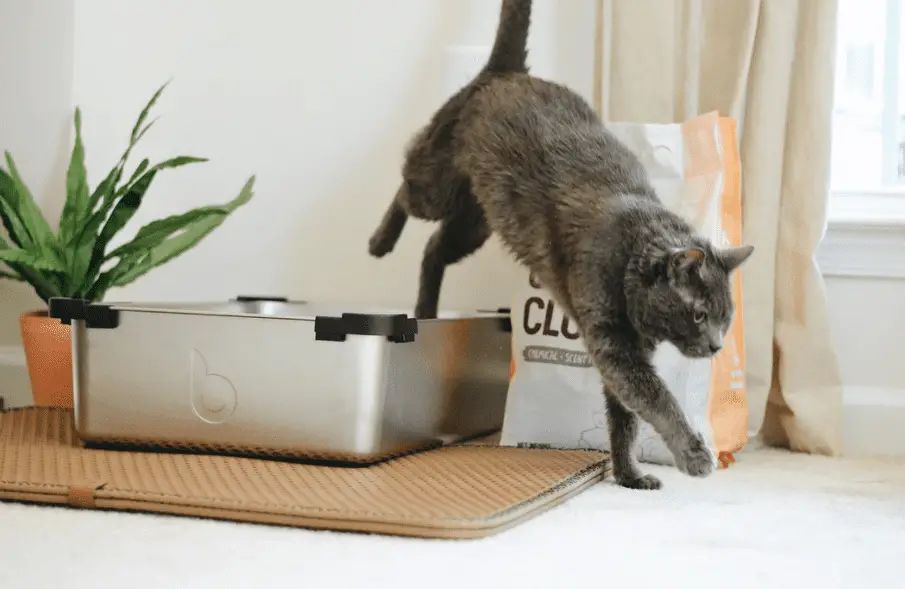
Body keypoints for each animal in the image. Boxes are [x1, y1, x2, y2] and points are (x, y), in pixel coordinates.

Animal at [364, 0, 752, 486]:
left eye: (726, 318)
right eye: (699, 314)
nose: (718, 346)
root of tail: (507, 71)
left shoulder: (623, 352)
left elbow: (624, 419)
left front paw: (629, 475)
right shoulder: (615, 346)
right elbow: (658, 400)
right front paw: (694, 455)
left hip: (477, 221)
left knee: (434, 248)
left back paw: (425, 308)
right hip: (438, 185)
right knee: (405, 190)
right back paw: (379, 242)